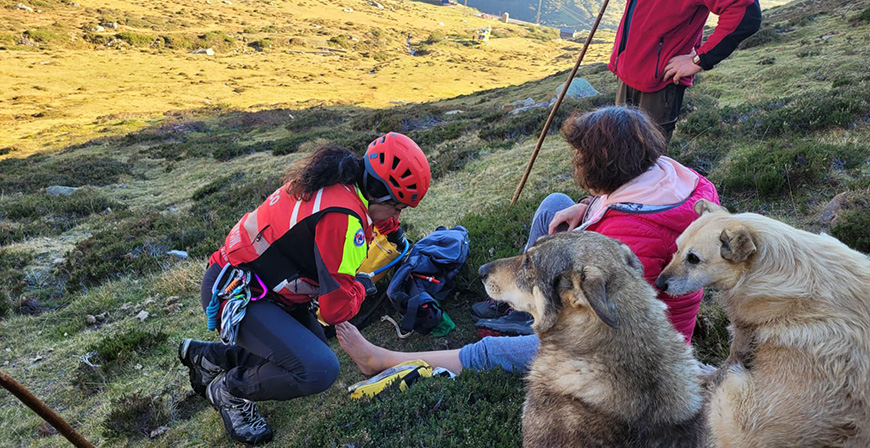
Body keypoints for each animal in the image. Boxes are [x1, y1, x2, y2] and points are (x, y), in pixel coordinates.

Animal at [656, 201, 870, 448]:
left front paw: (707, 373)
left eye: (694, 259)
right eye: (677, 248)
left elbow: (726, 364)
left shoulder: (744, 331)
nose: (659, 283)